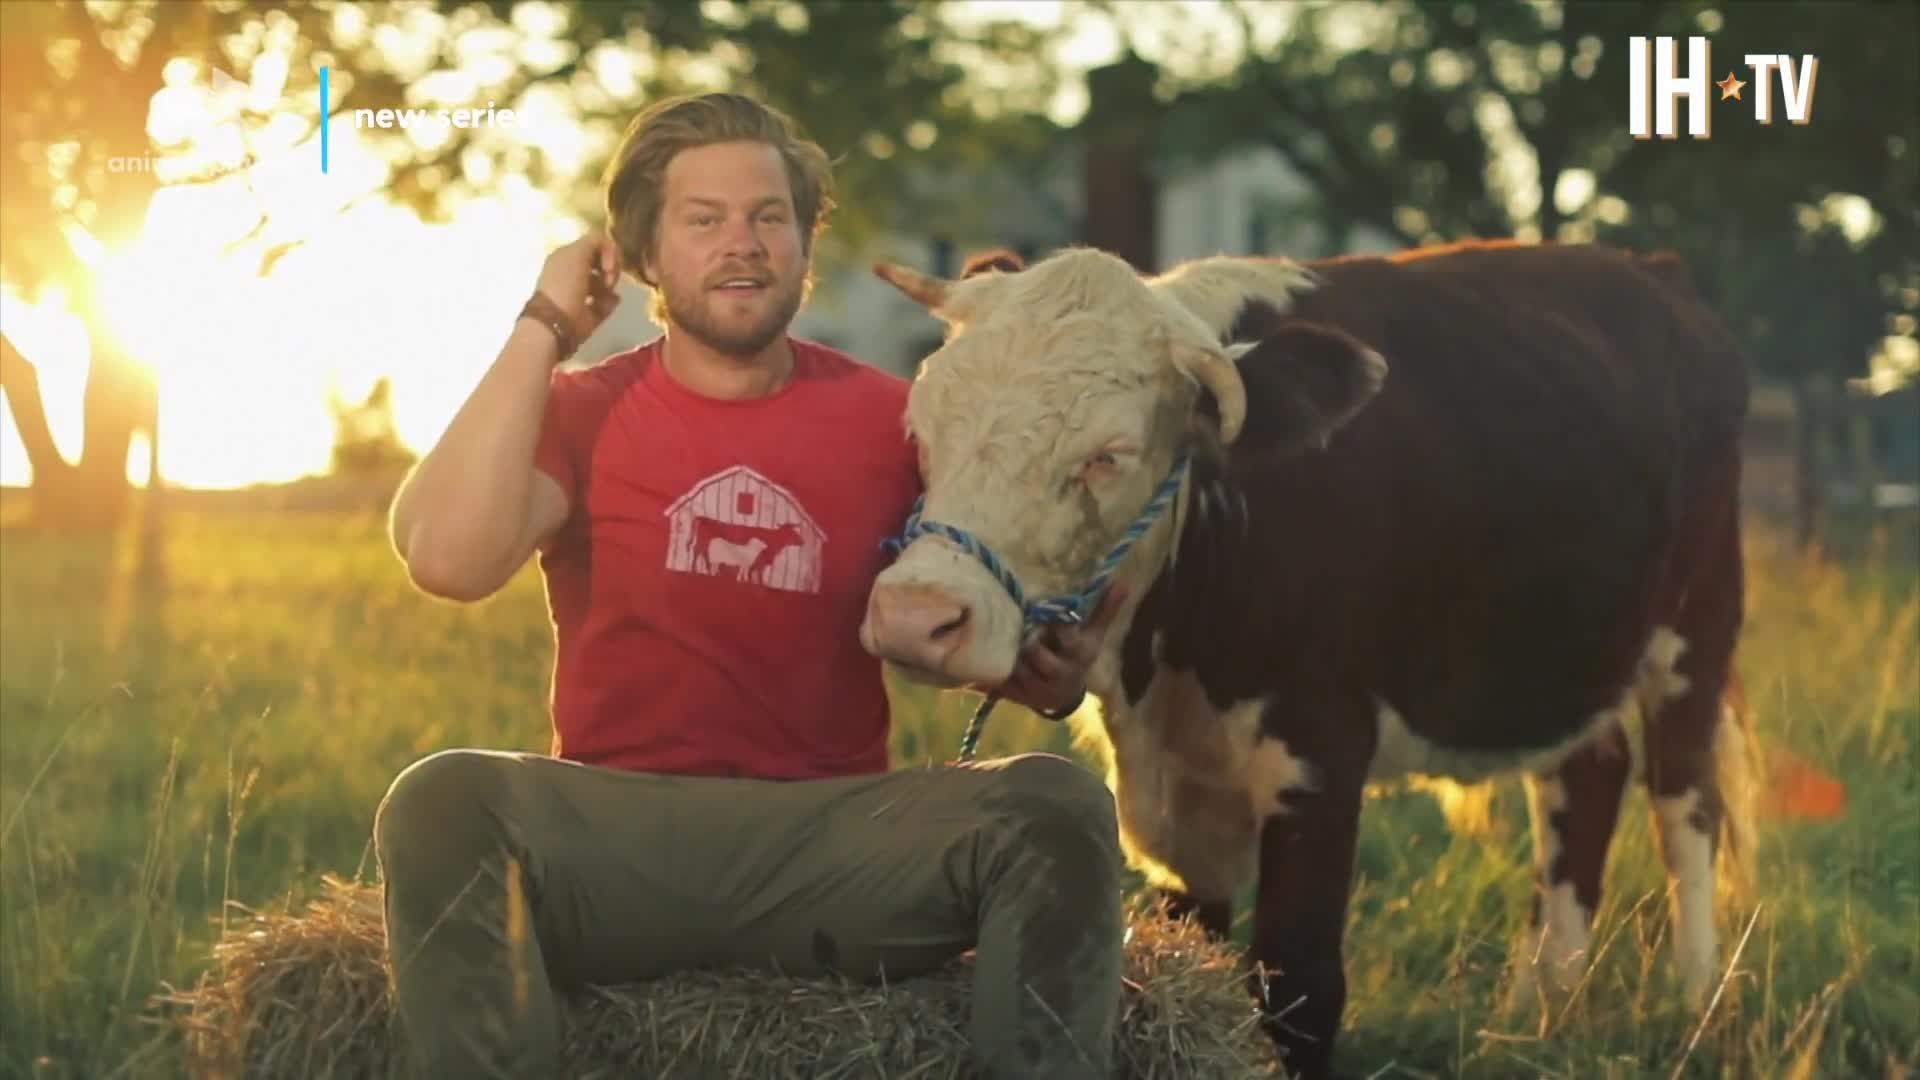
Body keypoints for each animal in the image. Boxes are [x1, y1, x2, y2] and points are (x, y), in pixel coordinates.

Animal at [864, 239, 1758, 1068]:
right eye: (920, 427)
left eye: (1106, 456)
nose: (917, 614)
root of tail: (1647, 266)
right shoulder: (1181, 800)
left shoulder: (1320, 755)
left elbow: (1298, 982)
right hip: (1559, 662)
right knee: (1587, 780)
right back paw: (1534, 1014)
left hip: (1696, 628)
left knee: (1684, 807)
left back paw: (1697, 1010)